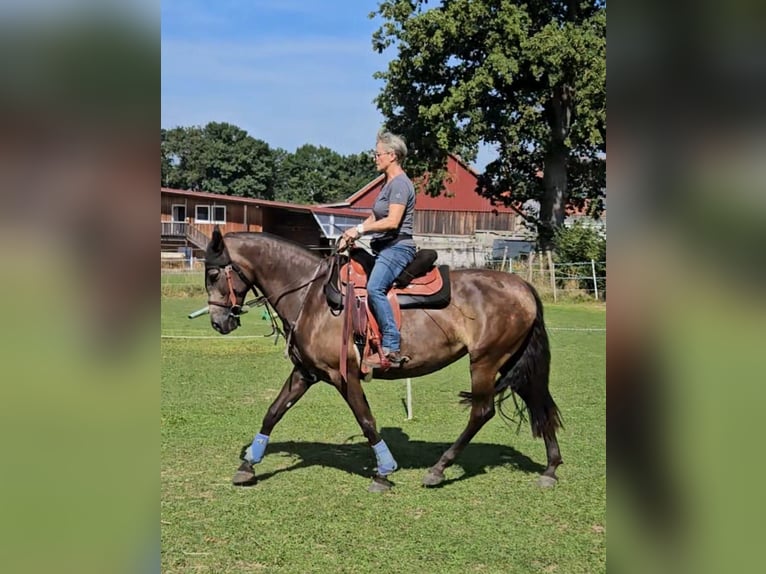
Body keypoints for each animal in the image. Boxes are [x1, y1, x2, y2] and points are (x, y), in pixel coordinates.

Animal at [204, 230, 564, 496]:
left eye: (213, 272)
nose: (218, 323)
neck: (314, 297)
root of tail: (522, 286)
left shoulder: (343, 375)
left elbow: (366, 420)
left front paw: (384, 472)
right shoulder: (305, 373)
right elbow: (274, 412)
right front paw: (248, 464)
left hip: (485, 361)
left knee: (482, 411)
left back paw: (438, 469)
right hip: (510, 361)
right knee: (537, 402)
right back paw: (550, 468)